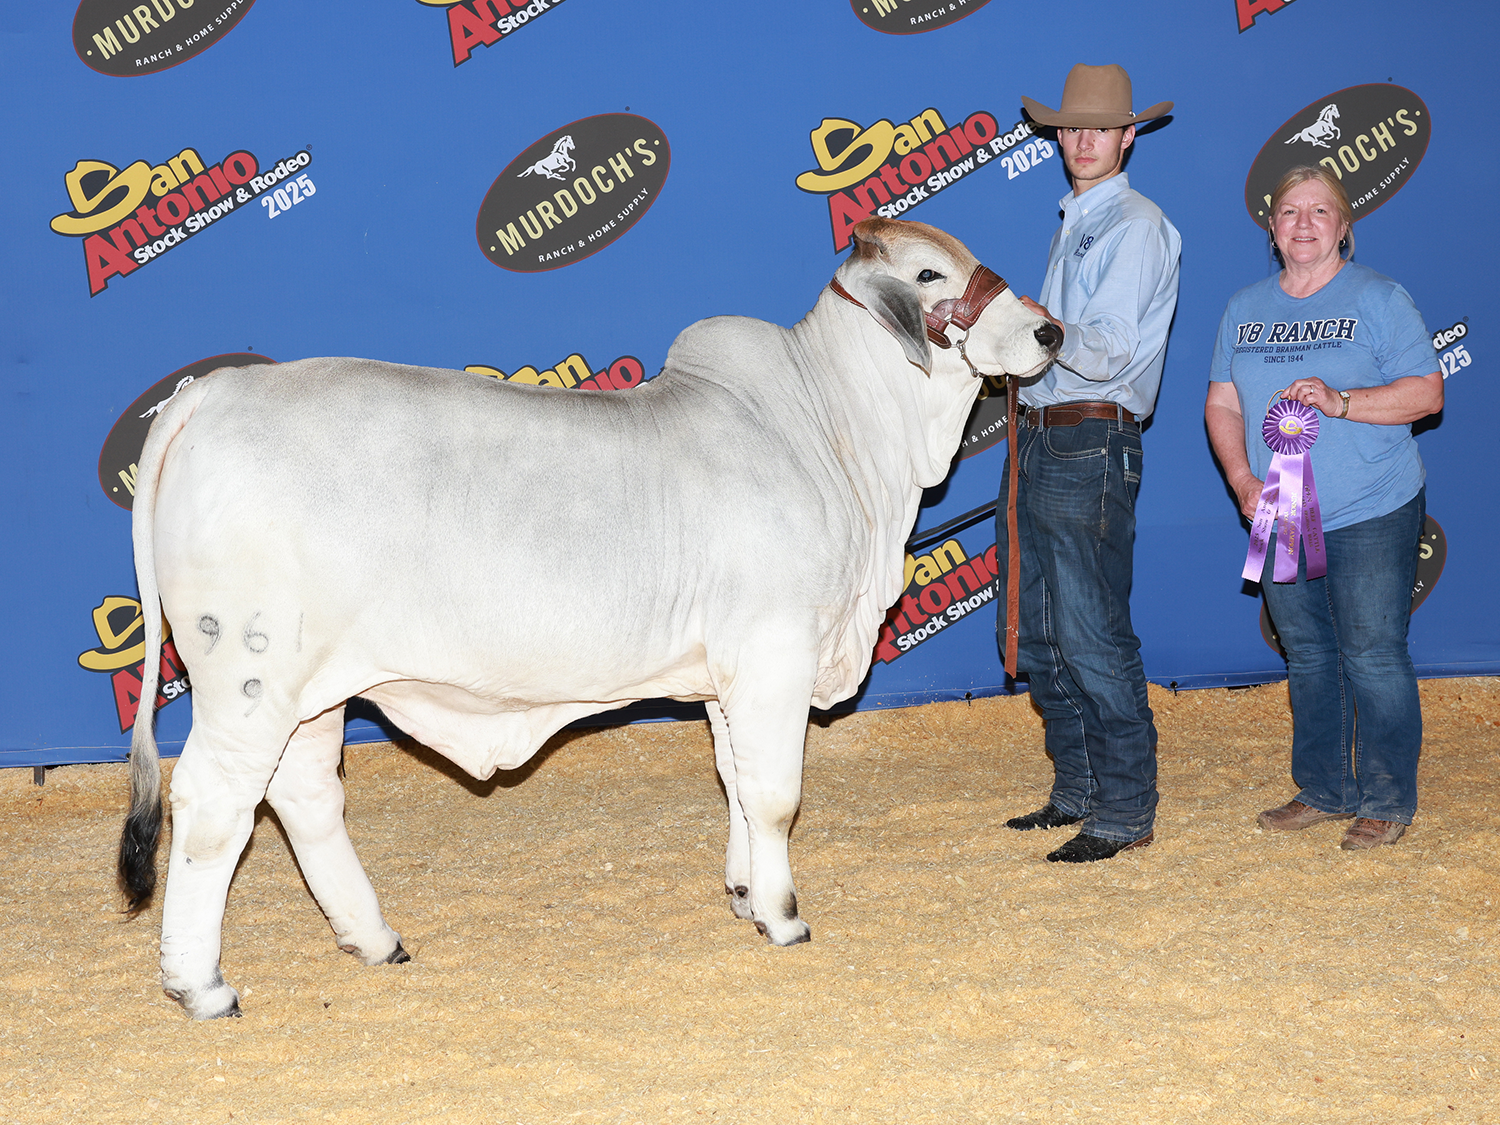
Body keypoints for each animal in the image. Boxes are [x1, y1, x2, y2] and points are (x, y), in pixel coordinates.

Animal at [120, 220, 1056, 1020]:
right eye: (929, 274)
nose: (1049, 333)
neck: (836, 436)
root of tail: (211, 395)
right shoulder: (776, 650)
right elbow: (775, 793)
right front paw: (785, 914)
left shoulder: (727, 671)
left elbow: (736, 781)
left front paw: (744, 893)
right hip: (250, 677)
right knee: (212, 803)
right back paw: (201, 984)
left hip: (311, 687)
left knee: (305, 795)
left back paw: (375, 937)